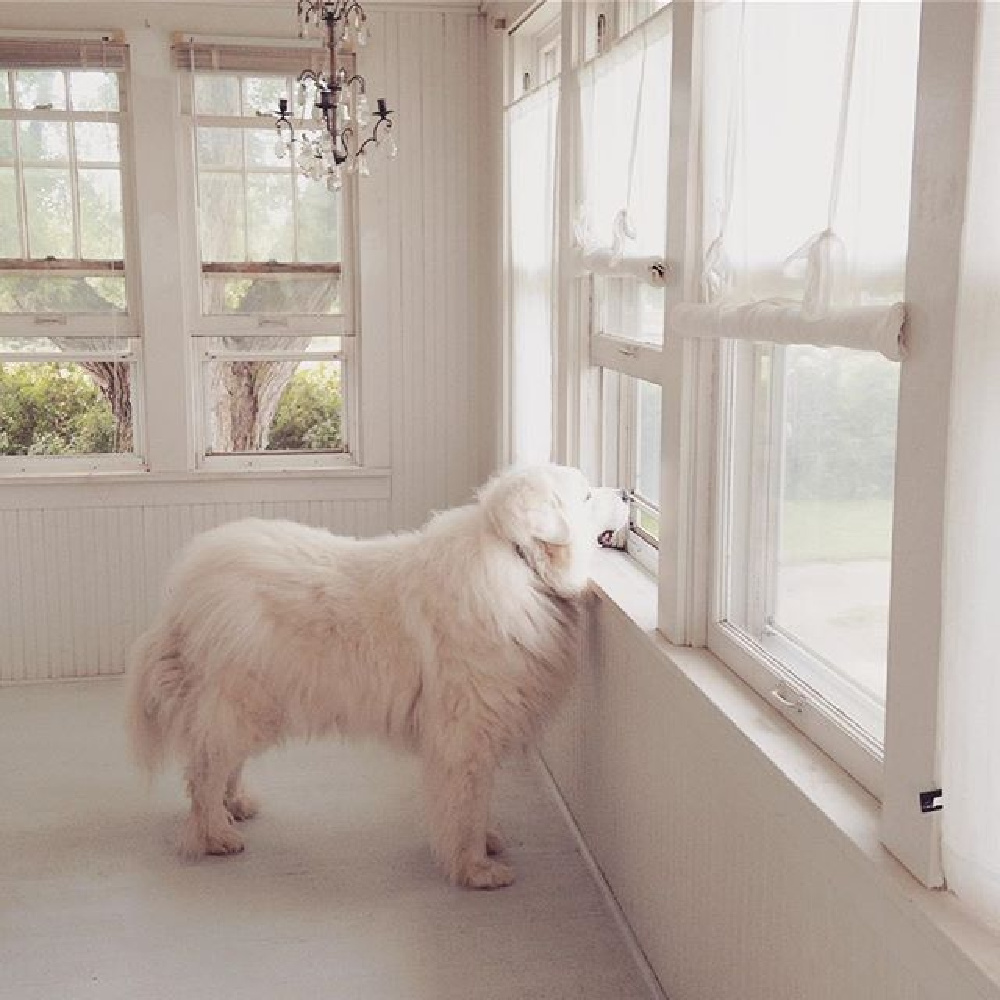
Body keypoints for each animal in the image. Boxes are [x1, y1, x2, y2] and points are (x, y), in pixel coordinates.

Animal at [125, 464, 624, 888]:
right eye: (585, 493)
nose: (623, 492)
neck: (517, 560)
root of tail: (184, 588)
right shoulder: (465, 734)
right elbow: (465, 803)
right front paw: (475, 868)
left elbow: (478, 801)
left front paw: (487, 841)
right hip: (241, 700)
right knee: (205, 771)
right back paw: (214, 835)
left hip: (250, 706)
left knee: (222, 762)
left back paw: (235, 807)